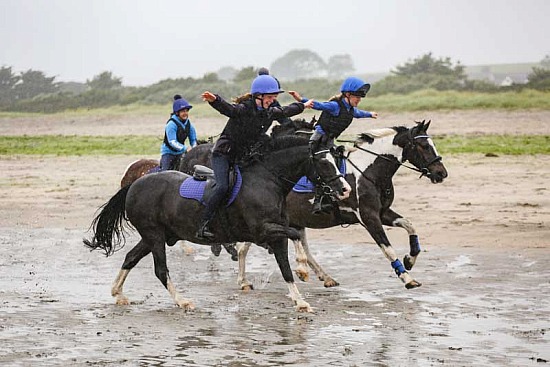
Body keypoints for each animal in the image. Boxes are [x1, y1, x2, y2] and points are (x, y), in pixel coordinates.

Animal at [84, 135, 352, 314]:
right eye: (324, 162)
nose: (345, 189)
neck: (267, 180)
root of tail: (135, 185)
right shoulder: (263, 231)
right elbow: (295, 234)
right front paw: (304, 269)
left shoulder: (274, 235)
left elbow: (285, 267)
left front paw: (300, 300)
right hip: (155, 236)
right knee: (160, 270)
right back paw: (182, 301)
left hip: (153, 237)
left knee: (130, 257)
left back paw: (118, 293)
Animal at [237, 120, 448, 290]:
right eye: (423, 146)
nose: (441, 173)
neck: (369, 171)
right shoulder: (368, 217)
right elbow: (387, 248)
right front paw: (406, 277)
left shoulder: (382, 213)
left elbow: (409, 225)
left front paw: (410, 259)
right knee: (243, 248)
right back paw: (243, 281)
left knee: (302, 247)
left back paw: (324, 277)